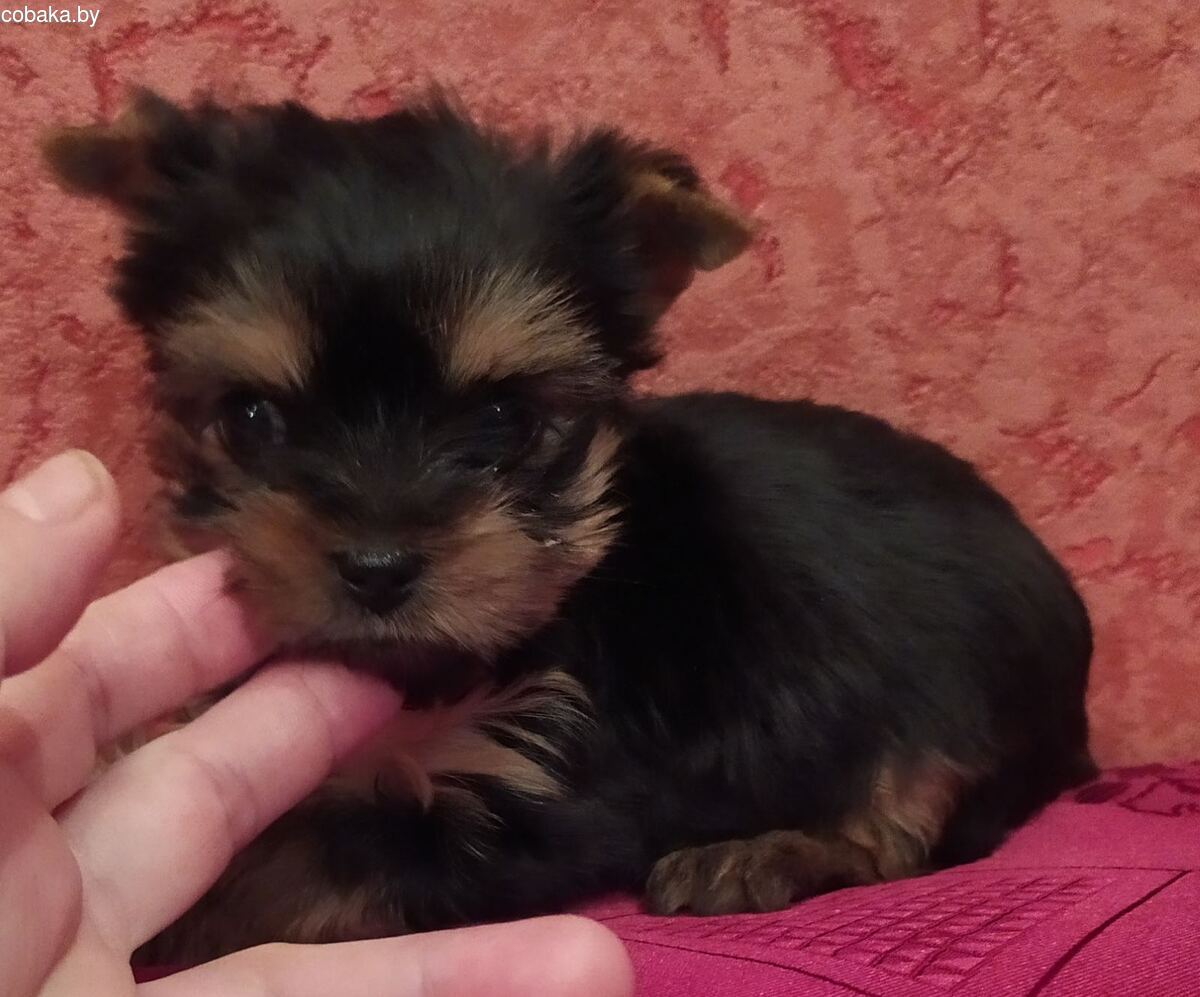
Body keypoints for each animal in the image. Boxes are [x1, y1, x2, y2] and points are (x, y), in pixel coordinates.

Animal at [43, 89, 1095, 962]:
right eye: (252, 418)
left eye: (504, 419)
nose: (378, 564)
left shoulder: (544, 782)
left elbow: (303, 864)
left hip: (956, 690)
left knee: (906, 820)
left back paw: (759, 853)